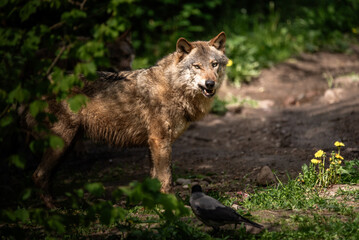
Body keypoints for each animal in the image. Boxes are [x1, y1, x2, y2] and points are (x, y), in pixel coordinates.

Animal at [26, 31, 229, 207]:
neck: (174, 88)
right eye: (197, 66)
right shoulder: (160, 140)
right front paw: (173, 206)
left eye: (214, 64)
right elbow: (167, 178)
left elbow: (155, 178)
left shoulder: (153, 143)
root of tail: (39, 85)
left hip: (68, 145)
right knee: (38, 175)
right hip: (62, 142)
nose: (210, 84)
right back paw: (54, 209)